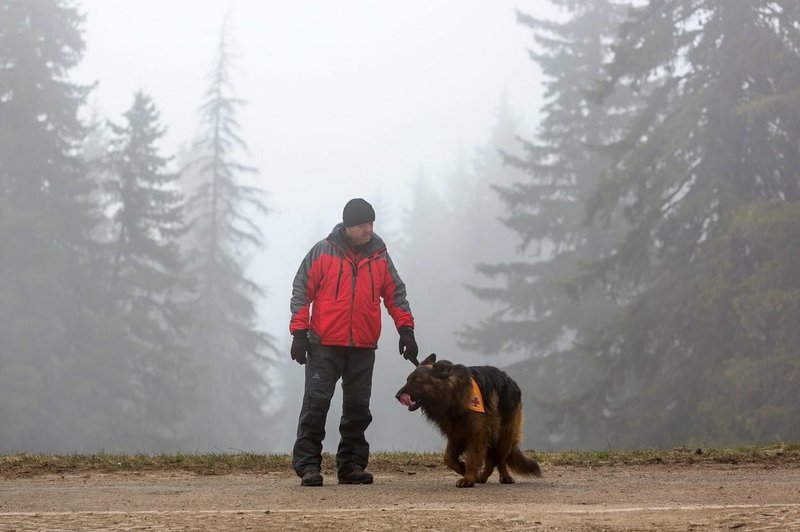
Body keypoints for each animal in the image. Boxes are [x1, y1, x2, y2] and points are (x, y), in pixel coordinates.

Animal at [396, 354, 540, 486]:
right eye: (407, 380)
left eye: (416, 381)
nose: (397, 396)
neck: (452, 394)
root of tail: (511, 381)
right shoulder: (456, 433)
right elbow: (448, 458)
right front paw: (463, 469)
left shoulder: (477, 432)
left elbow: (472, 458)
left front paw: (468, 477)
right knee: (492, 459)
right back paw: (483, 477)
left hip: (504, 434)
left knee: (499, 458)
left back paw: (503, 476)